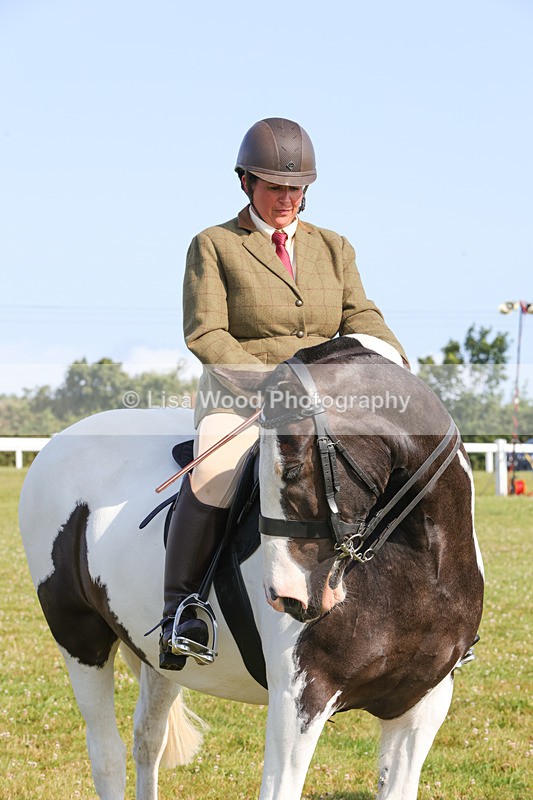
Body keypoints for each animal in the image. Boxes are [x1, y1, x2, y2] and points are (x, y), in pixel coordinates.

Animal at [18, 336, 484, 800]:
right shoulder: (300, 698)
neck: (421, 566)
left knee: (148, 740)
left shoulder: (422, 704)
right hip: (79, 636)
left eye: (293, 470)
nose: (285, 597)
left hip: (157, 655)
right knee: (107, 754)